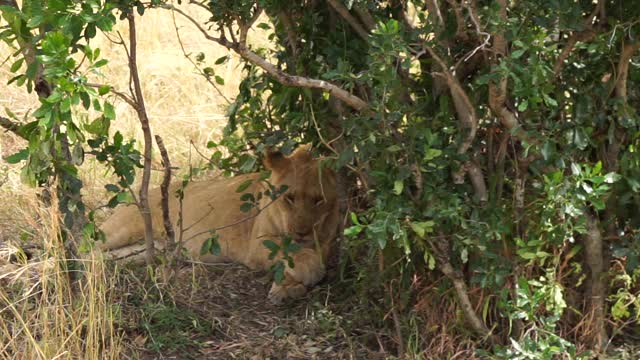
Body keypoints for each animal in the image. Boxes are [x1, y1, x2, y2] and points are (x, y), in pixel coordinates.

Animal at [97, 144, 340, 304]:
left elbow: (301, 258)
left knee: (105, 257)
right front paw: (306, 274)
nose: (302, 232)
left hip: (143, 250)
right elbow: (295, 254)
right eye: (289, 198)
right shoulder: (258, 244)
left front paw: (287, 288)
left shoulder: (325, 243)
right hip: (122, 231)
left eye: (319, 200)